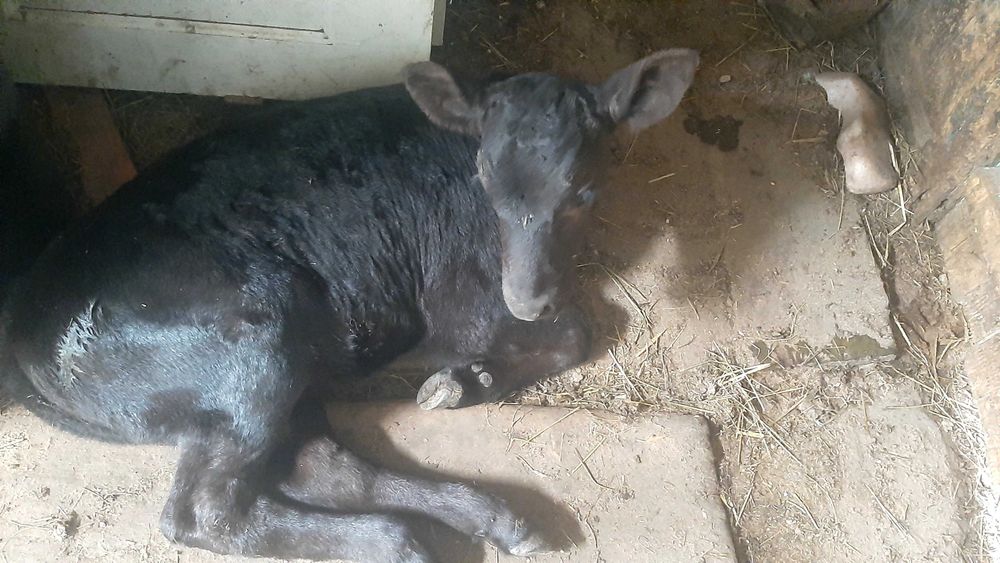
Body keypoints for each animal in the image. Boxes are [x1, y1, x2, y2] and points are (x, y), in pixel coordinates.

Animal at [0, 49, 698, 562]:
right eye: (484, 177)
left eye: (583, 190)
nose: (527, 297)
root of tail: (27, 331)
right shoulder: (463, 305)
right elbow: (577, 333)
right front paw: (471, 378)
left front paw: (467, 381)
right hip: (251, 344)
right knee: (205, 510)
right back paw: (399, 542)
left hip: (279, 365)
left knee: (321, 466)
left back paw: (488, 516)